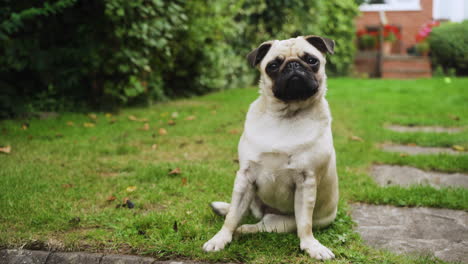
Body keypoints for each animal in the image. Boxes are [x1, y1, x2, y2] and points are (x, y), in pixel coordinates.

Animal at [203, 35, 338, 260]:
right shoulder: (245, 177)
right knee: (239, 211)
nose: (293, 65)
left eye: (312, 60)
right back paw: (225, 212)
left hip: (281, 222)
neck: (285, 115)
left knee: (262, 225)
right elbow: (232, 217)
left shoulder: (306, 182)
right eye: (273, 66)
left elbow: (305, 224)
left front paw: (311, 245)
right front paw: (220, 239)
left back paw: (244, 230)